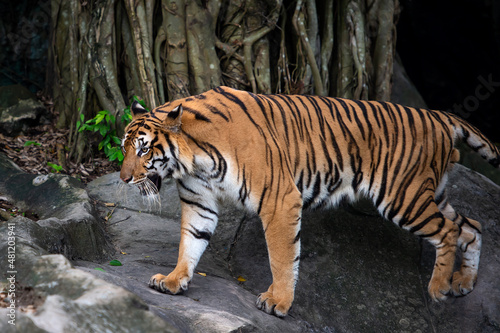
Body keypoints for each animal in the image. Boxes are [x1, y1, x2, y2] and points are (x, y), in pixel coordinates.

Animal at [120, 85, 500, 316]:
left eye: (143, 149)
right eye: (124, 147)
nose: (123, 179)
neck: (193, 158)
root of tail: (436, 115)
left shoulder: (279, 200)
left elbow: (282, 258)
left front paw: (278, 301)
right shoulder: (200, 202)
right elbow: (190, 243)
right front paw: (173, 280)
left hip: (403, 198)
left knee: (450, 230)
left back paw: (438, 289)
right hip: (429, 194)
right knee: (472, 225)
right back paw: (463, 283)